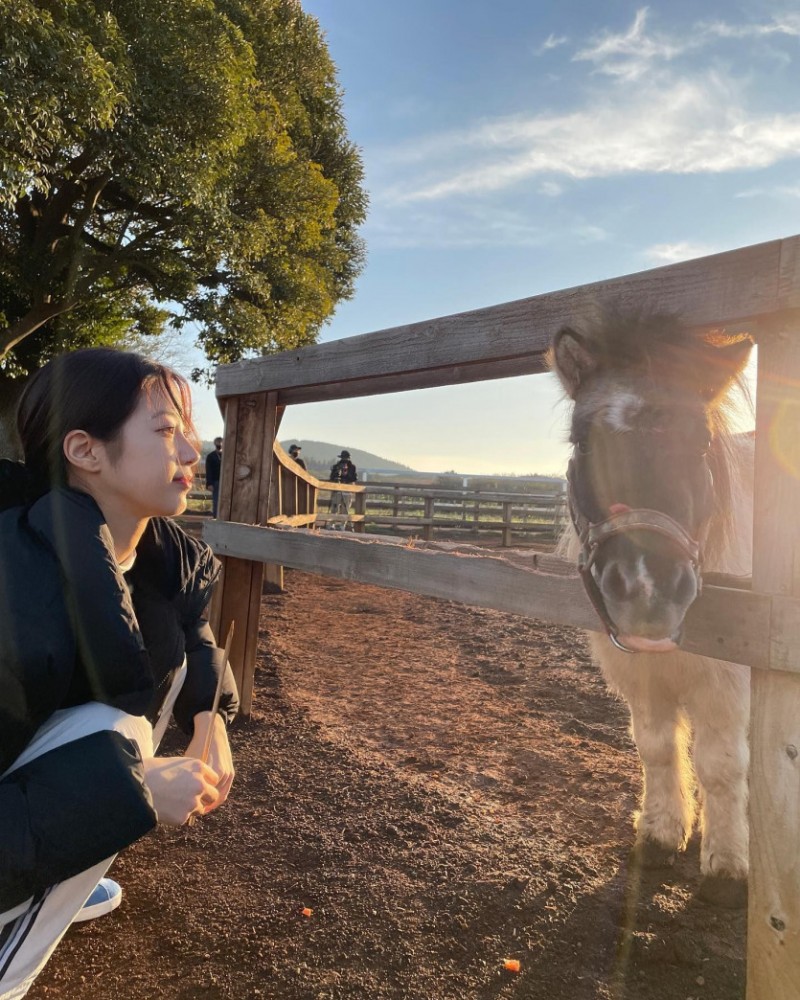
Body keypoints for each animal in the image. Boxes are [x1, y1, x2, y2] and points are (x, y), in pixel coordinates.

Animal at [552, 306, 752, 908]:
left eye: (702, 442)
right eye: (581, 442)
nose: (645, 587)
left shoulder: (728, 683)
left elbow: (721, 766)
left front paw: (727, 864)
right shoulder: (643, 676)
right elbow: (658, 748)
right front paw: (663, 834)